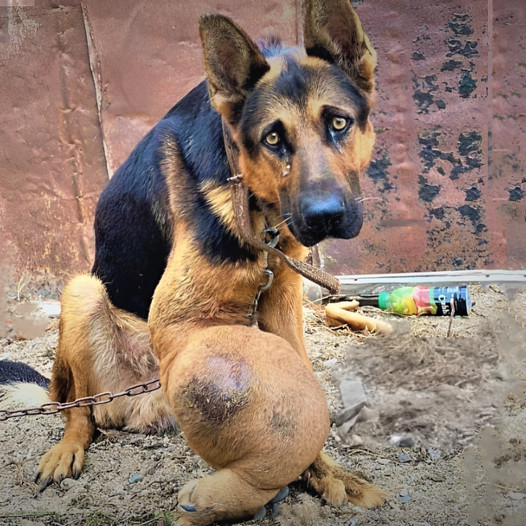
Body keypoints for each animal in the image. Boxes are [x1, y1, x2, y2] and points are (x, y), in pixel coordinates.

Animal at [36, 0, 388, 524]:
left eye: (339, 123)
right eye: (273, 139)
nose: (324, 217)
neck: (256, 204)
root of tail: (139, 400)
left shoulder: (283, 299)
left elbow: (309, 399)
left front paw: (325, 472)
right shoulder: (180, 318)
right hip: (83, 291)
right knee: (78, 408)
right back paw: (68, 448)